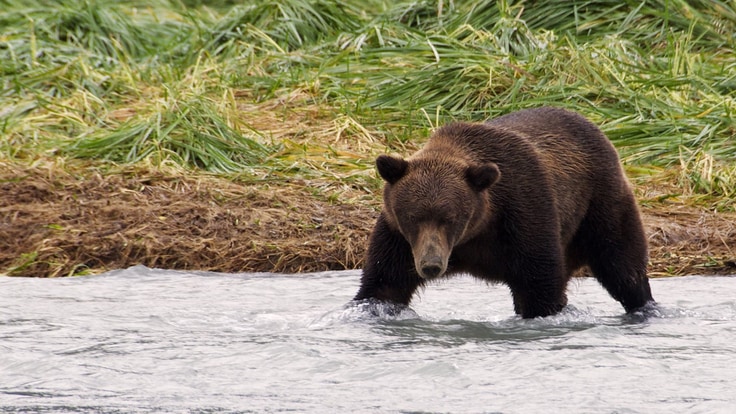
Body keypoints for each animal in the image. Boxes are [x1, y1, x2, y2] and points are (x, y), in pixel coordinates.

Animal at [356, 106, 656, 316]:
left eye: (450, 218)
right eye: (412, 217)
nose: (431, 264)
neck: (478, 230)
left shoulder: (524, 211)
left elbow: (539, 286)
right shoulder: (398, 237)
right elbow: (384, 284)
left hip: (598, 204)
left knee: (622, 264)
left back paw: (644, 306)